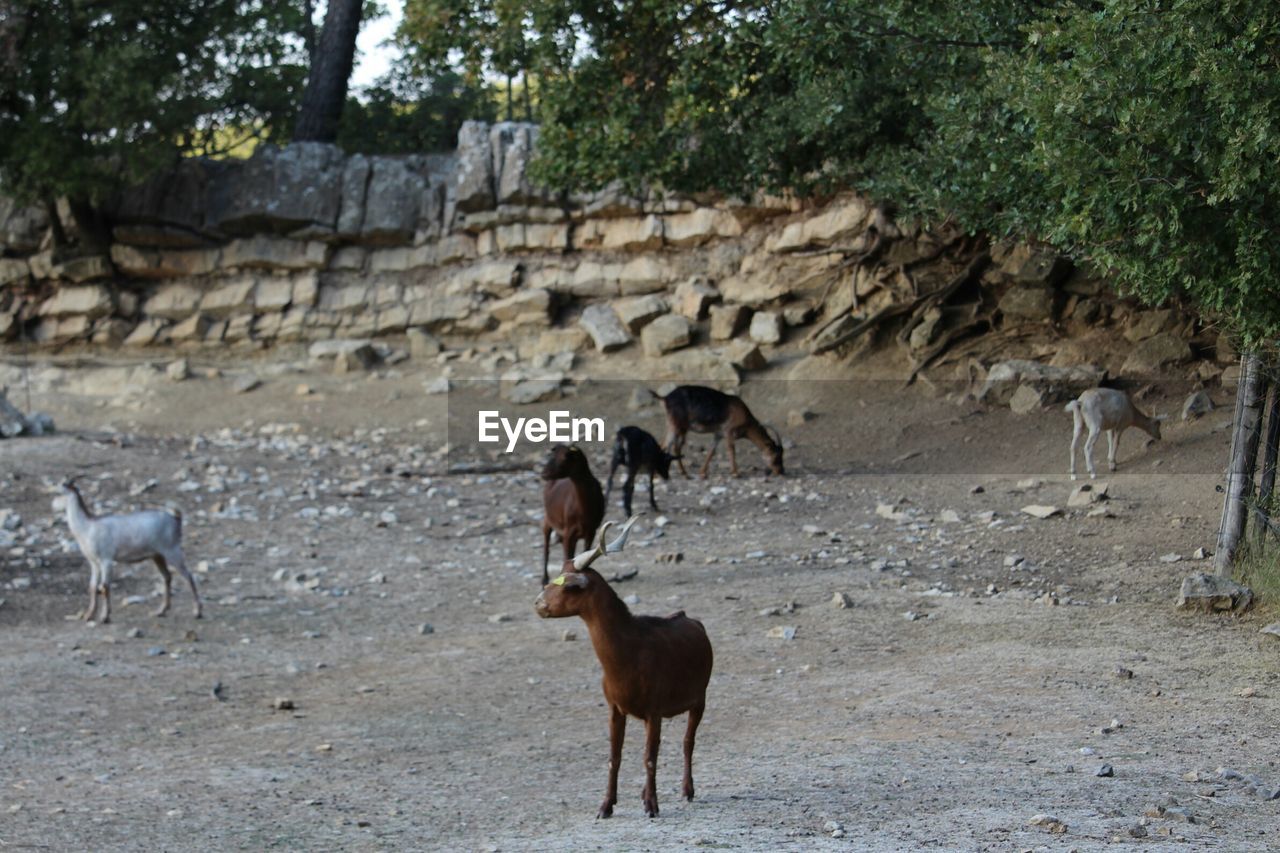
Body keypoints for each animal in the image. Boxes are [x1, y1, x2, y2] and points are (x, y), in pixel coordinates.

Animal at [60, 473, 202, 622]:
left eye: (62, 489)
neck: (87, 527)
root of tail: (176, 519)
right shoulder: (94, 563)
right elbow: (93, 587)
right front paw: (89, 615)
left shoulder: (106, 560)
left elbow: (105, 586)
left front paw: (105, 617)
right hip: (158, 556)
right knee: (167, 576)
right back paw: (160, 611)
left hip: (172, 552)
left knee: (188, 576)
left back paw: (197, 612)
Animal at [532, 517, 716, 819]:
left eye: (569, 586)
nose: (538, 604)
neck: (629, 655)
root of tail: (693, 620)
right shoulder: (616, 709)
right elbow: (614, 757)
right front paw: (606, 806)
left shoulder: (654, 710)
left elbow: (650, 757)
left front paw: (652, 806)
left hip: (699, 698)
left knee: (688, 742)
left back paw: (687, 790)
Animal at [537, 438, 601, 584]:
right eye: (551, 455)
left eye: (565, 457)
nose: (543, 473)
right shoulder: (569, 532)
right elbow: (567, 557)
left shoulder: (591, 531)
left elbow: (585, 555)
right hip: (549, 519)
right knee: (546, 546)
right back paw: (544, 580)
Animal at [655, 384, 783, 479]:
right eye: (776, 455)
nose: (780, 472)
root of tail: (665, 398)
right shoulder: (729, 431)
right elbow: (731, 450)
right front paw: (736, 473)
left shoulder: (718, 434)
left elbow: (712, 451)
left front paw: (702, 472)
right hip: (677, 426)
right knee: (670, 446)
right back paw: (679, 474)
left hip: (673, 426)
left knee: (667, 445)